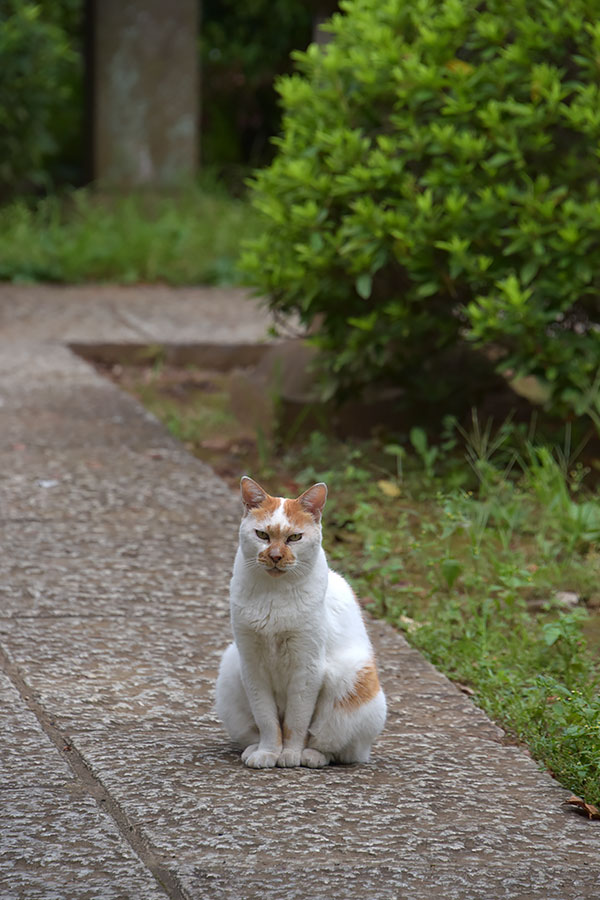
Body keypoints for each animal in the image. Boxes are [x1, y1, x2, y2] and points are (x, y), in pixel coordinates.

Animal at [213, 474, 386, 768]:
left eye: (294, 537)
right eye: (262, 535)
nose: (275, 556)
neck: (274, 595)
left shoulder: (307, 668)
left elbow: (296, 721)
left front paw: (290, 754)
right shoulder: (252, 666)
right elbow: (267, 720)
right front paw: (268, 752)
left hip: (351, 680)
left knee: (340, 749)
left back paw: (312, 755)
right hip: (231, 667)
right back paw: (254, 748)